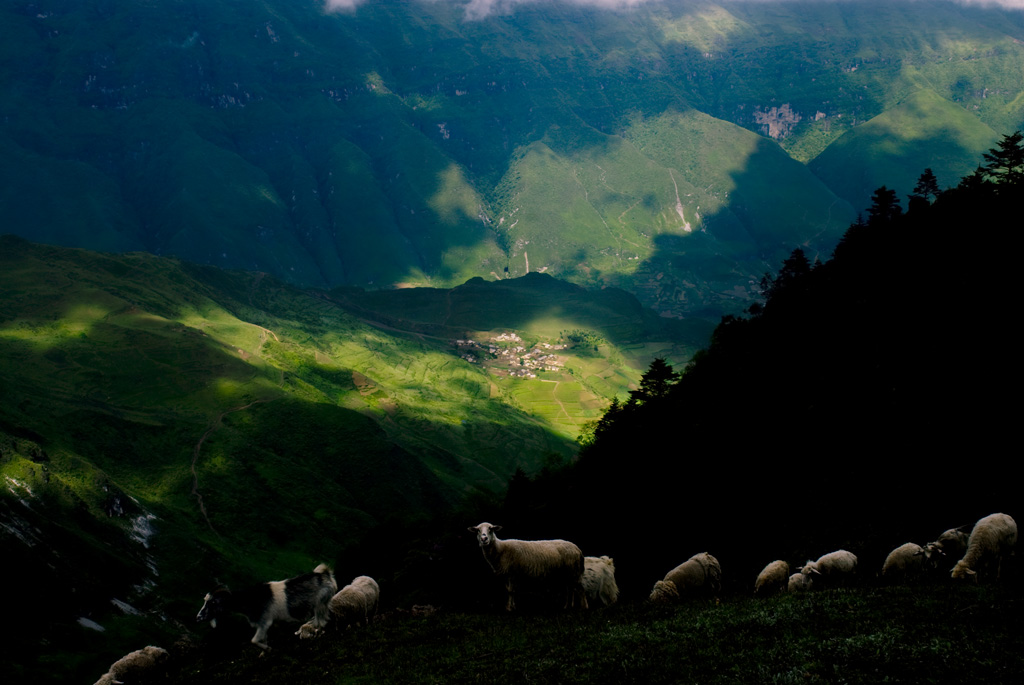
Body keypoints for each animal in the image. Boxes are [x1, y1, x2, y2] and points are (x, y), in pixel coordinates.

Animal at [193, 557, 333, 651]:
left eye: (213, 602)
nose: (198, 618)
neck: (252, 599)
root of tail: (326, 575)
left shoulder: (265, 622)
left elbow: (254, 640)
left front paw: (267, 649)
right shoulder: (264, 625)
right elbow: (263, 638)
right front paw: (265, 651)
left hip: (319, 605)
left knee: (322, 622)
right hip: (320, 607)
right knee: (322, 621)